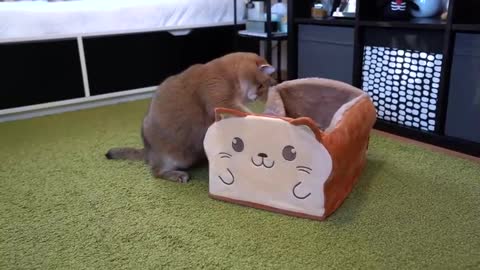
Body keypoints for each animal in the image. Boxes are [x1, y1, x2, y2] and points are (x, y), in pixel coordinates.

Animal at [106, 52, 276, 184]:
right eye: (261, 86)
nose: (258, 97)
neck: (229, 73)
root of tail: (148, 151)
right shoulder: (222, 100)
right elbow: (244, 112)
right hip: (169, 157)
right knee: (156, 172)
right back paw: (178, 175)